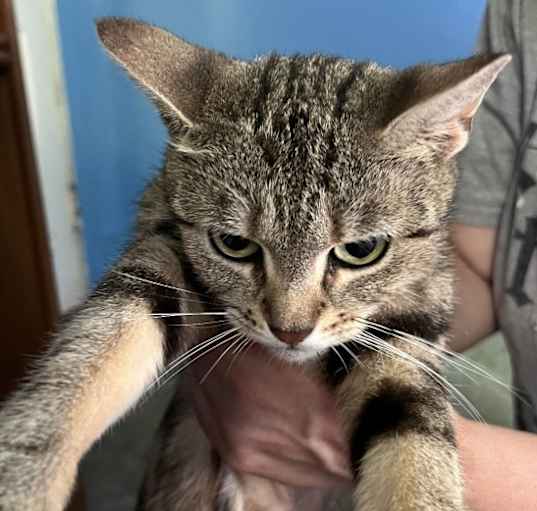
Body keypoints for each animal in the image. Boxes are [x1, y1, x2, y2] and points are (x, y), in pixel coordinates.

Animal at [0, 16, 508, 511]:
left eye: (362, 250)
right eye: (234, 244)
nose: (290, 330)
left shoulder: (410, 329)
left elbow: (413, 438)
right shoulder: (164, 242)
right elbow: (104, 338)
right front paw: (27, 469)